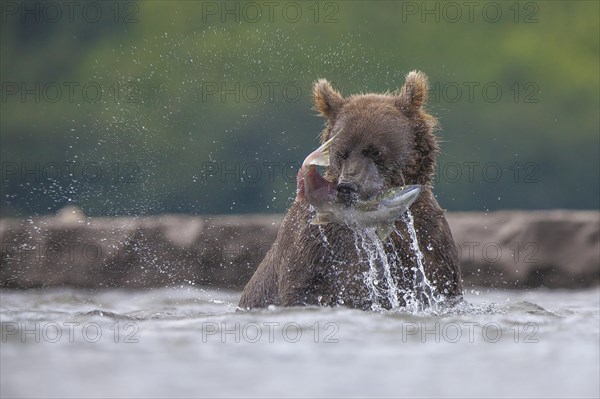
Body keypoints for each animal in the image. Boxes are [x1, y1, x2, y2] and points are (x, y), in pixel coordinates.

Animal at [239, 70, 464, 310]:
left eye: (374, 151)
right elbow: (305, 286)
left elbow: (441, 282)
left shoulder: (429, 240)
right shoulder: (315, 244)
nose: (347, 186)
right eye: (342, 153)